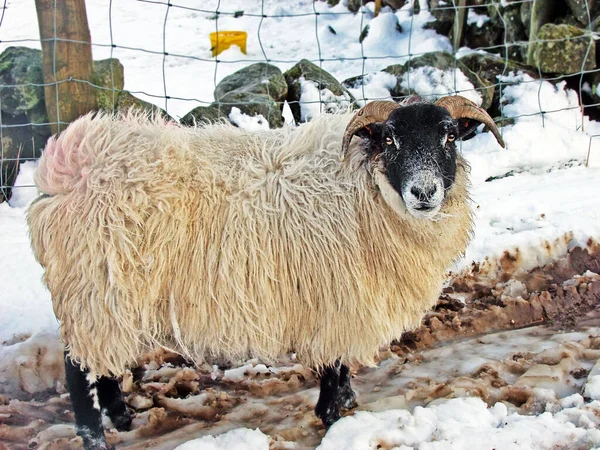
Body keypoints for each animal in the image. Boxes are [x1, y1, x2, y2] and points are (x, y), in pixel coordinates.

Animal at [28, 94, 506, 446]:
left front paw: (347, 400)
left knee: (102, 362)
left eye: (450, 136)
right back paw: (96, 437)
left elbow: (341, 367)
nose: (424, 192)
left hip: (109, 295)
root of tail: (70, 164)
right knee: (78, 370)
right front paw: (333, 416)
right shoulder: (333, 298)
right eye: (389, 140)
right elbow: (332, 366)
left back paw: (122, 417)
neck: (363, 186)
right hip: (94, 288)